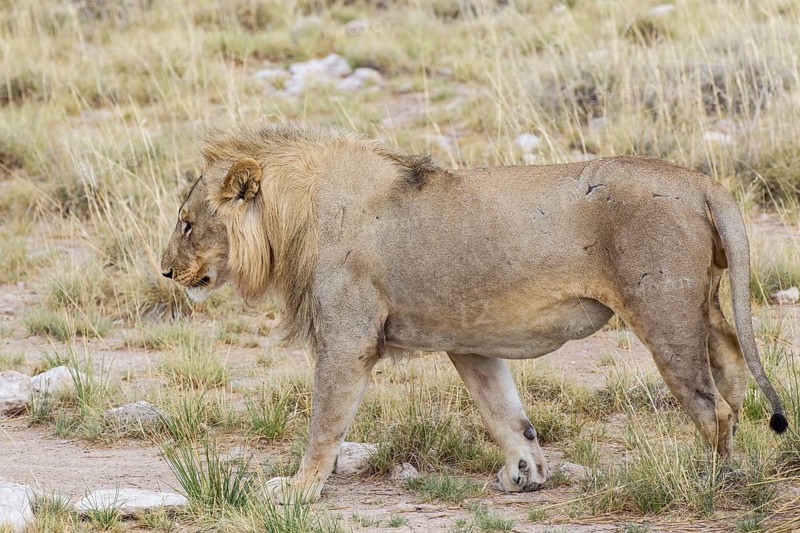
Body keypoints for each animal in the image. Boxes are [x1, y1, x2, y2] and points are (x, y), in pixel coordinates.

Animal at [160, 123, 788, 503]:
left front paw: (297, 489)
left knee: (712, 408)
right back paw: (746, 461)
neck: (293, 219)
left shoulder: (347, 340)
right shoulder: (470, 340)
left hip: (662, 311)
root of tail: (701, 180)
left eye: (188, 224)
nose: (165, 272)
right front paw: (525, 474)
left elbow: (324, 424)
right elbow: (505, 414)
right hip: (703, 304)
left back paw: (711, 481)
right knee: (734, 373)